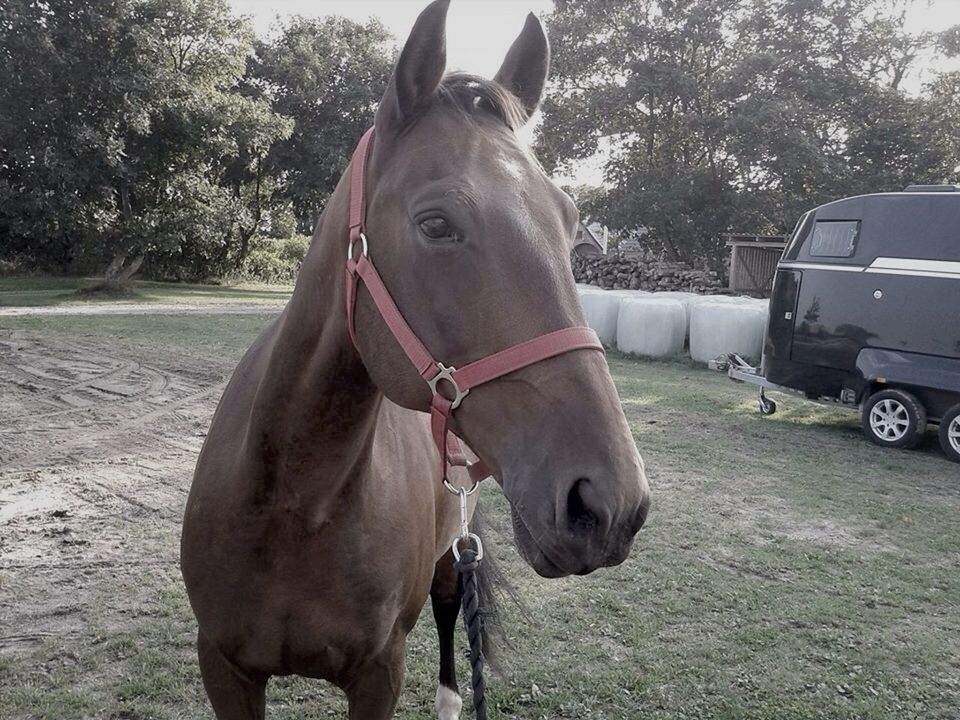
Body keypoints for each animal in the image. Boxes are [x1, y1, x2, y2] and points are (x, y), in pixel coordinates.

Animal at [178, 2, 652, 716]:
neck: (296, 502)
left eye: (570, 222)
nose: (608, 503)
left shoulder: (380, 672)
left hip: (453, 558)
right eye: (435, 224)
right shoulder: (224, 668)